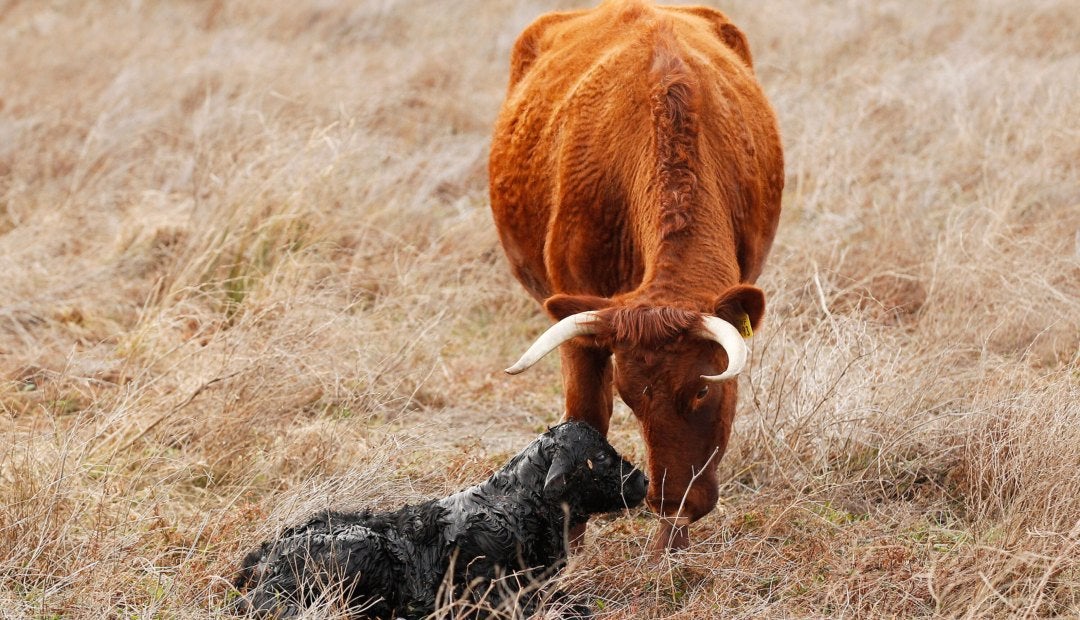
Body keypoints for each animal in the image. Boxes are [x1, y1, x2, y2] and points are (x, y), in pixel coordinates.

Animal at [232, 421, 643, 617]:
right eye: (602, 458)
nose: (644, 480)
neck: (518, 506)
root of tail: (263, 555)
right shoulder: (494, 594)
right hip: (358, 547)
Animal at [492, 0, 786, 553]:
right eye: (631, 395)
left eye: (701, 390)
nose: (671, 501)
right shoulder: (581, 329)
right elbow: (584, 421)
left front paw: (671, 550)